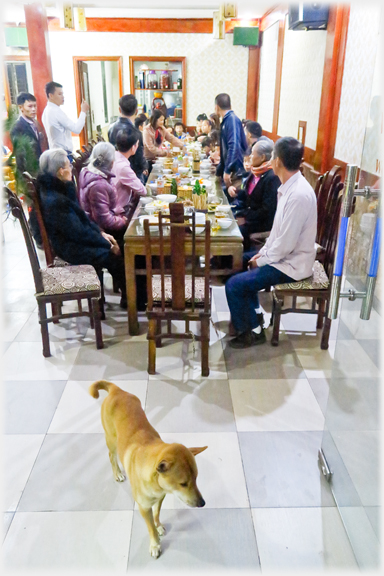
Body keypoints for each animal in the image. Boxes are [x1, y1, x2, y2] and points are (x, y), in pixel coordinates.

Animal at [89, 380, 207, 556]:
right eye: (183, 484)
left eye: (196, 479)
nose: (202, 503)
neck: (156, 485)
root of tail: (116, 390)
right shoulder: (144, 508)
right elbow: (149, 526)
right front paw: (155, 544)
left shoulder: (160, 497)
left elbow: (157, 513)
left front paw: (158, 526)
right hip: (111, 439)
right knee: (111, 456)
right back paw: (117, 473)